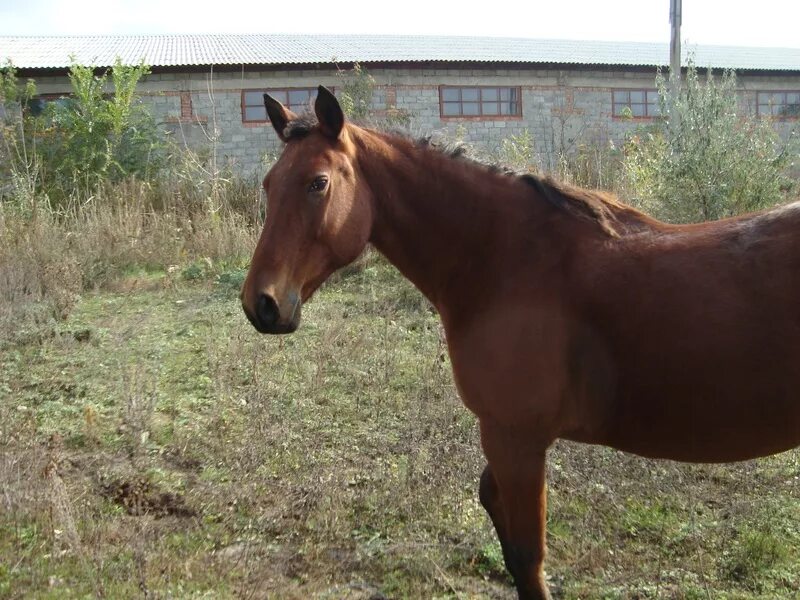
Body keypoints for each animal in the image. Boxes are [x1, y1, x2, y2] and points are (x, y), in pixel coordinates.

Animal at [241, 85, 800, 600]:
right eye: (270, 184)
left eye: (317, 183)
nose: (260, 304)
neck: (509, 262)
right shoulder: (507, 441)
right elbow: (501, 523)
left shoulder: (517, 438)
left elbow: (528, 556)